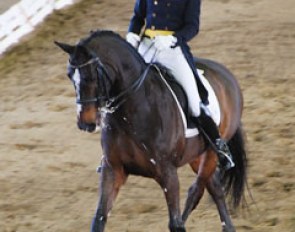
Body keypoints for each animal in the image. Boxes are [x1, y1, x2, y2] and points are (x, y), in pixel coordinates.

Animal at [55, 29, 247, 231]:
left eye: (91, 76)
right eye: (69, 75)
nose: (85, 123)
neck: (132, 111)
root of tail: (226, 74)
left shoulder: (168, 173)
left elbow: (175, 223)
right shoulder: (112, 169)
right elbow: (99, 218)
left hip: (211, 151)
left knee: (196, 190)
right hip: (195, 155)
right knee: (215, 187)